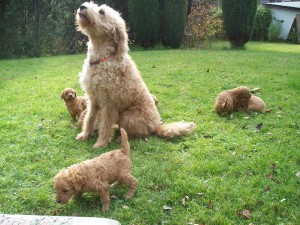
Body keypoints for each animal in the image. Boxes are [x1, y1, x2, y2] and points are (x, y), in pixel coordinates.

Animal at [75, 2, 197, 149]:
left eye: (102, 12)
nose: (82, 6)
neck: (101, 59)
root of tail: (157, 126)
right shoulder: (93, 100)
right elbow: (89, 119)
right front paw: (84, 135)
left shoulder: (109, 104)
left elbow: (106, 125)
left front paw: (101, 143)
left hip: (127, 117)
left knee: (140, 134)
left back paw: (120, 138)